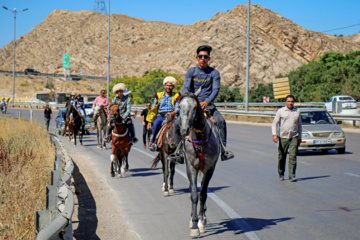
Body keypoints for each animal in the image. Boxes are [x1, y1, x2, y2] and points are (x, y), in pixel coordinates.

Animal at [177, 89, 219, 237]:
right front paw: (194, 224)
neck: (200, 138)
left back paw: (203, 217)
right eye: (179, 106)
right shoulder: (191, 167)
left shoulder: (209, 168)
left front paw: (200, 222)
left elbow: (203, 194)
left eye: (195, 107)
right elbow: (194, 194)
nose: (184, 130)